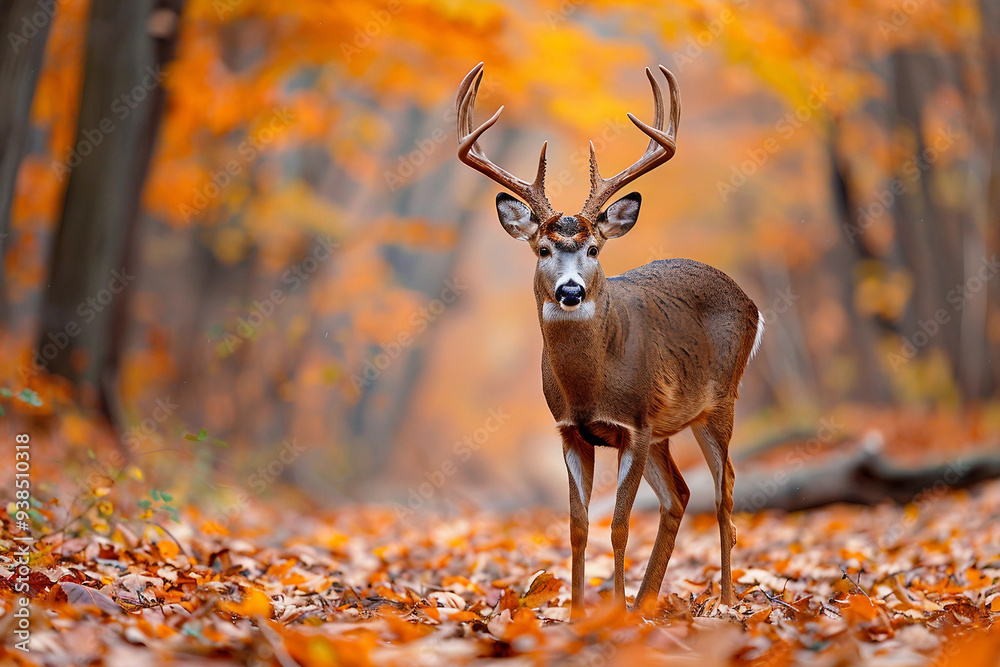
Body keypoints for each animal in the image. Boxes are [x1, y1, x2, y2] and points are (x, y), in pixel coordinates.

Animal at [455, 63, 763, 615]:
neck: (591, 386)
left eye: (594, 248)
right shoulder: (572, 431)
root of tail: (748, 299)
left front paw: (612, 613)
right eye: (542, 249)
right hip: (667, 427)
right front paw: (580, 612)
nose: (571, 290)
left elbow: (619, 526)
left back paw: (726, 600)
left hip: (719, 401)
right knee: (680, 495)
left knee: (724, 489)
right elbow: (578, 526)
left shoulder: (634, 425)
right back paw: (647, 602)